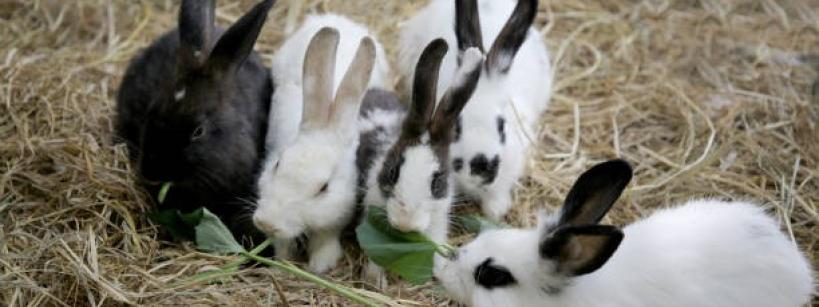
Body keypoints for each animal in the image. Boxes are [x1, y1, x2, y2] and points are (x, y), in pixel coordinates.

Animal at [251, 14, 390, 274]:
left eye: (324, 188)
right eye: (277, 165)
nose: (267, 223)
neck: (325, 125)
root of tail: (335, 18)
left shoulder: (335, 217)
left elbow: (325, 239)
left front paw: (320, 265)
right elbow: (283, 244)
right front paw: (282, 263)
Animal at [360, 39, 486, 288]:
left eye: (437, 182)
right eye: (392, 172)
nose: (404, 224)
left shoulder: (439, 221)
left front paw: (444, 270)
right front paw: (375, 281)